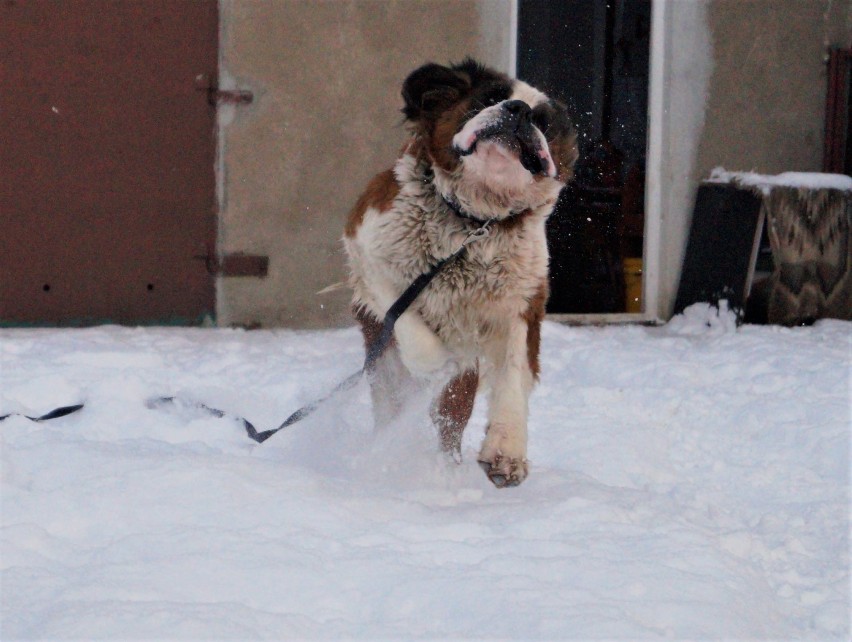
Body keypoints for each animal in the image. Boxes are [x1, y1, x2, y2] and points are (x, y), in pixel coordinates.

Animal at [342, 60, 580, 484]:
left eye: (542, 121)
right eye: (490, 98)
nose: (518, 110)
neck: (473, 221)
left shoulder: (521, 303)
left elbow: (513, 374)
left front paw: (506, 450)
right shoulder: (368, 252)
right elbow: (409, 322)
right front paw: (437, 360)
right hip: (383, 361)